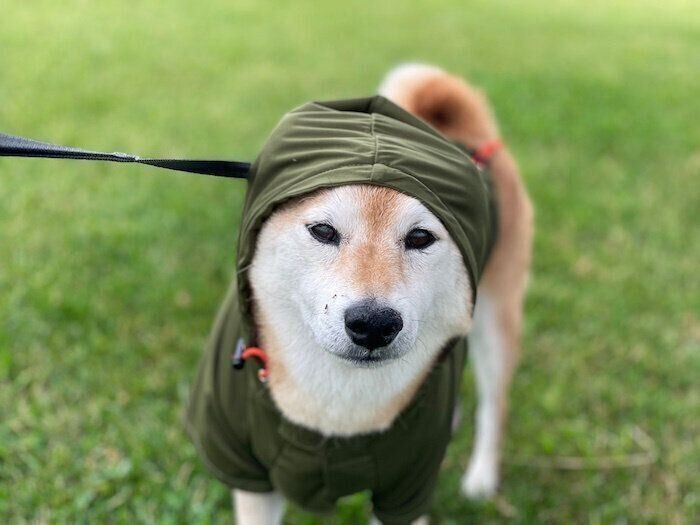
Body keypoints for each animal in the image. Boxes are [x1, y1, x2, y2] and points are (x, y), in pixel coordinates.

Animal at [213, 65, 532, 524]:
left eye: (420, 237)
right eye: (323, 230)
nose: (374, 323)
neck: (337, 410)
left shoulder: (409, 490)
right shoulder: (247, 470)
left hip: (496, 320)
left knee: (495, 405)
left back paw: (481, 478)